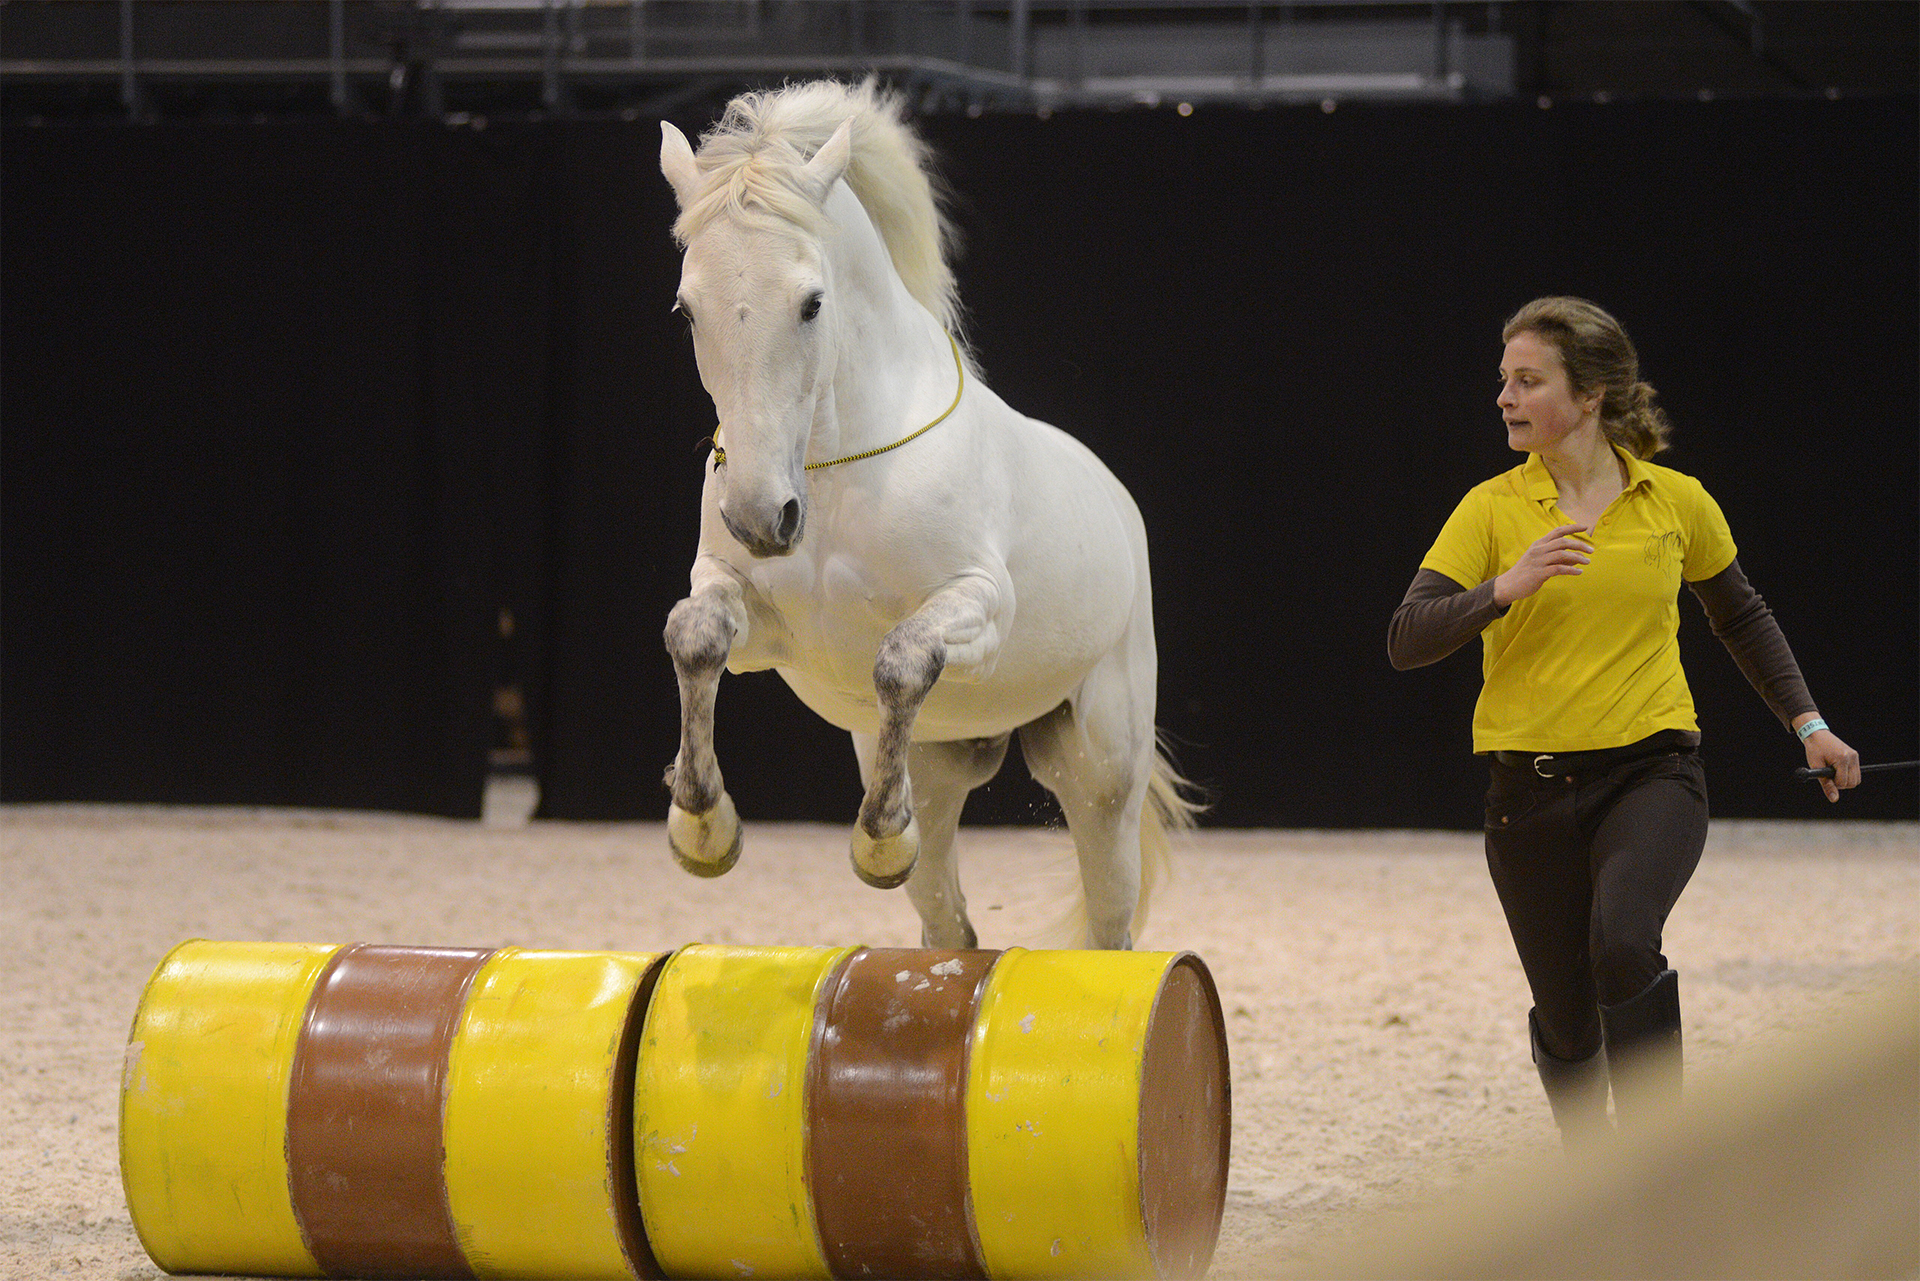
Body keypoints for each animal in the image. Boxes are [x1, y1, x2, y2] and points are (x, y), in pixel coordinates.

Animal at [664, 77, 1198, 941]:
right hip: (942, 766)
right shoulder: (750, 613)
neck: (836, 471)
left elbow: (903, 658)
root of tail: (1119, 504)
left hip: (1099, 773)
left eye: (812, 303)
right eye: (686, 309)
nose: (761, 515)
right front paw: (703, 828)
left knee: (1109, 919)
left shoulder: (976, 604)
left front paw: (879, 838)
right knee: (950, 927)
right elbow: (696, 636)